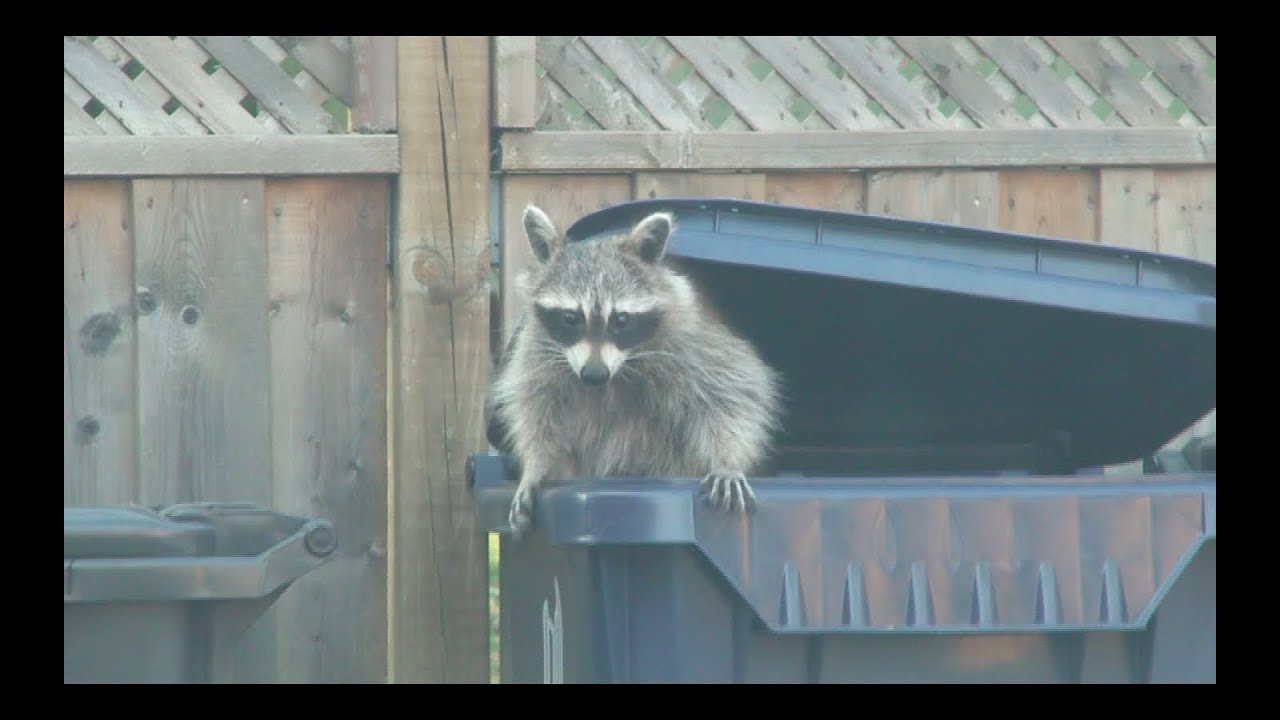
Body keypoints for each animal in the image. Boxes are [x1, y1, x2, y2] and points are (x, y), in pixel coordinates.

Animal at [486, 204, 783, 537]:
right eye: (571, 317)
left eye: (621, 319)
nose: (594, 375)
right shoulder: (538, 351)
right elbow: (536, 408)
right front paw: (536, 465)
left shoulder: (689, 339)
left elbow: (732, 392)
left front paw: (727, 459)